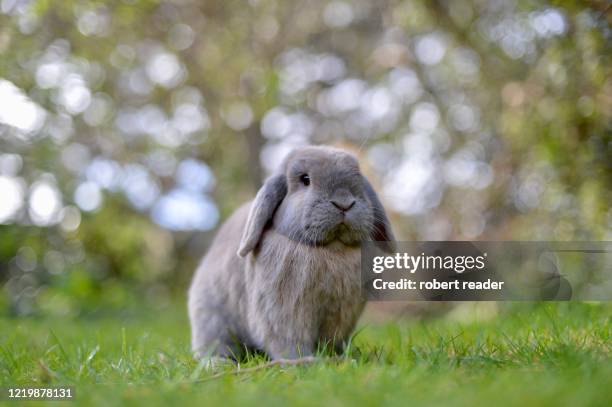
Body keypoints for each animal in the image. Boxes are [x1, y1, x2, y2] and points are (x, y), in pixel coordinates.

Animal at [189, 145, 394, 362]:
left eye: (358, 177)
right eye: (305, 179)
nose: (344, 203)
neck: (331, 249)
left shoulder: (341, 315)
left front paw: (337, 357)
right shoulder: (284, 311)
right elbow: (288, 339)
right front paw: (303, 361)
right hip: (212, 318)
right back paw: (216, 363)